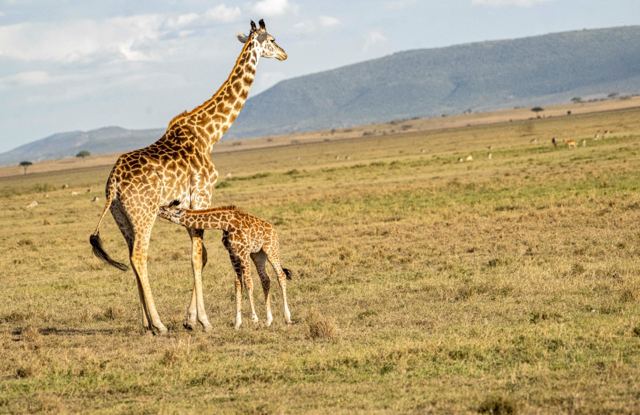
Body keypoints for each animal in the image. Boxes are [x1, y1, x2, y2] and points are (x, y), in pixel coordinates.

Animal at [158, 204, 293, 329]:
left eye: (164, 209)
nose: (157, 209)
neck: (226, 223)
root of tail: (273, 230)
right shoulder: (233, 254)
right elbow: (238, 284)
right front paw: (237, 323)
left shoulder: (244, 253)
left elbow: (248, 283)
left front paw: (254, 319)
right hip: (258, 254)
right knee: (265, 279)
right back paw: (269, 320)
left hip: (271, 249)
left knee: (280, 275)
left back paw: (287, 318)